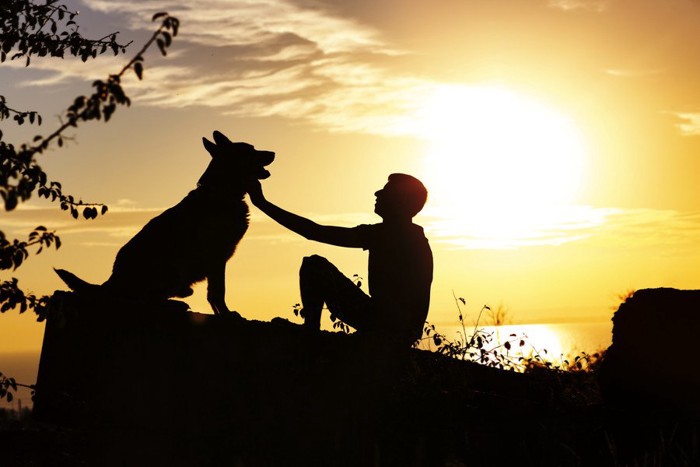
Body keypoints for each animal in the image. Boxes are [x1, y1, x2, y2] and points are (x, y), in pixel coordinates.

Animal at [56, 130, 274, 316]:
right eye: (251, 149)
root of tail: (113, 280)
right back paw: (174, 303)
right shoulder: (217, 257)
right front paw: (227, 315)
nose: (273, 152)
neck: (221, 191)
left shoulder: (218, 259)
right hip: (172, 268)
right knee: (144, 301)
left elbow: (214, 293)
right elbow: (218, 292)